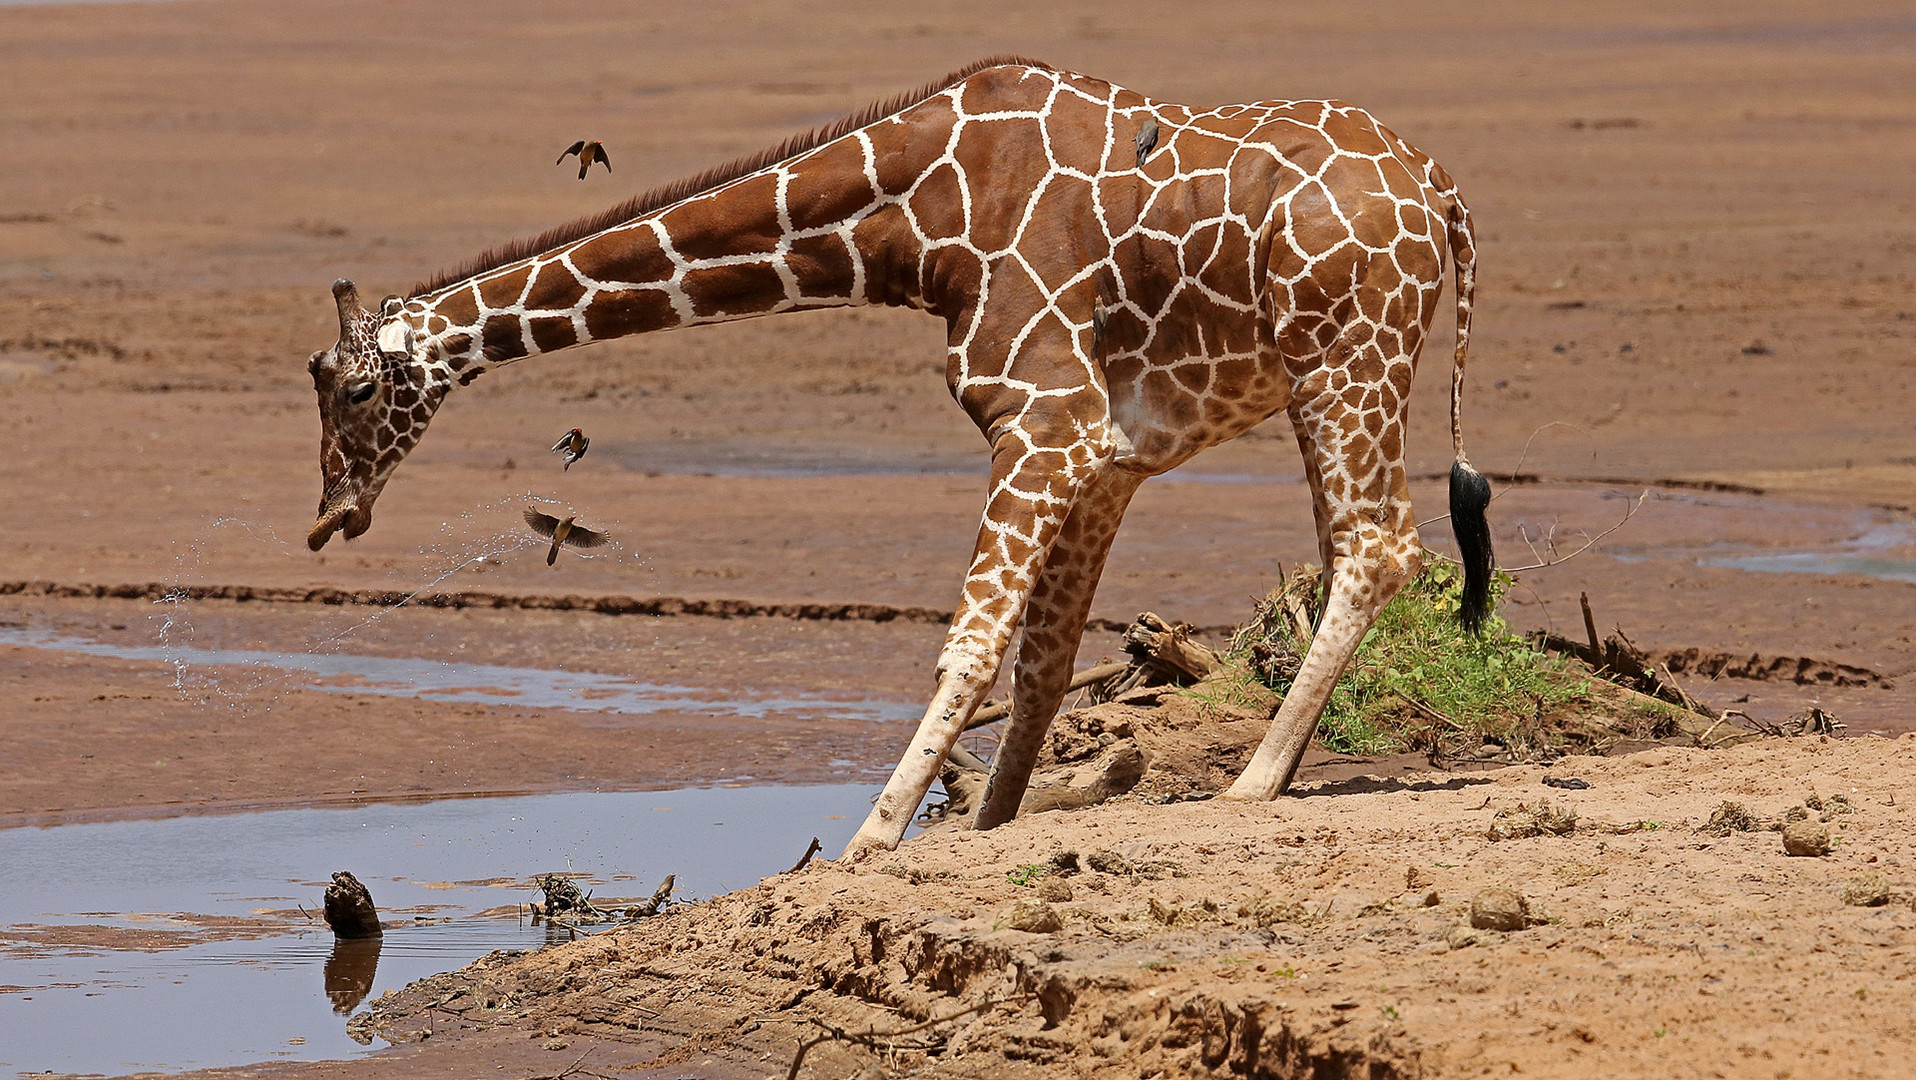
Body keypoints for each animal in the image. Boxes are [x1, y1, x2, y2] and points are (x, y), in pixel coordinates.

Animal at [306, 56, 1494, 861]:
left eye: (353, 388)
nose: (328, 516)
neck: (912, 225)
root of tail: (1440, 187)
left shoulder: (1041, 420)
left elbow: (965, 649)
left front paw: (872, 838)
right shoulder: (1101, 453)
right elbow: (1042, 658)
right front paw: (988, 822)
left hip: (1347, 357)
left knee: (1379, 546)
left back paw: (1251, 784)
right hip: (1338, 368)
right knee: (1361, 547)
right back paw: (1276, 773)